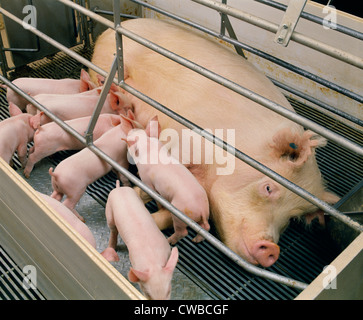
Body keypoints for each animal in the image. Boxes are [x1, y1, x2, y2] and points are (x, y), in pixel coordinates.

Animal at [126, 116, 209, 244]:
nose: (129, 131)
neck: (149, 147)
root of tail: (202, 210)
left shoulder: (147, 181)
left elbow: (146, 193)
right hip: (203, 215)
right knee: (206, 227)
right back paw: (195, 240)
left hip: (180, 214)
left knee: (183, 232)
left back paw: (169, 240)